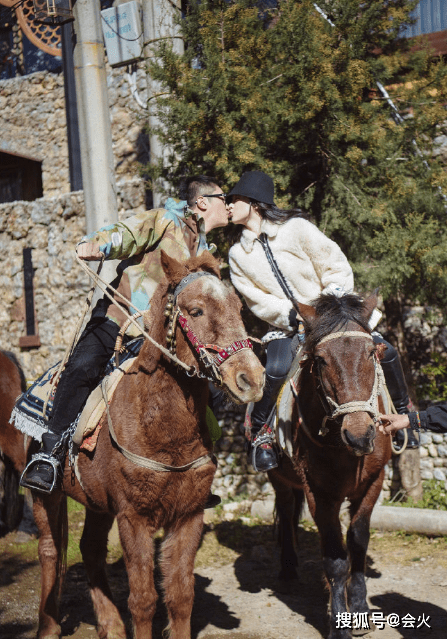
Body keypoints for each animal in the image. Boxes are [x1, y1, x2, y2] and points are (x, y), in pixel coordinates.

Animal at [5, 252, 264, 639]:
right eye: (196, 310)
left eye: (238, 307)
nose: (252, 379)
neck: (161, 425)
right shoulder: (134, 517)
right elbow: (143, 599)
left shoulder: (189, 515)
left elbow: (180, 595)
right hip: (43, 495)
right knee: (50, 550)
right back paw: (48, 627)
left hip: (97, 503)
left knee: (90, 548)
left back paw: (110, 625)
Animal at [270, 292, 392, 639]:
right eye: (321, 360)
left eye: (371, 353)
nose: (360, 434)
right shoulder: (319, 493)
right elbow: (335, 559)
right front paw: (340, 624)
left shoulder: (373, 483)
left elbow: (358, 542)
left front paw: (360, 607)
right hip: (279, 478)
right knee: (286, 511)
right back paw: (287, 570)